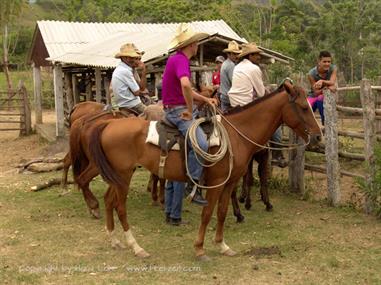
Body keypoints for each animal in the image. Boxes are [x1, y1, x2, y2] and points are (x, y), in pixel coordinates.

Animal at [86, 80, 320, 258]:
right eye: (302, 107)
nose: (318, 136)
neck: (237, 134)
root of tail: (108, 124)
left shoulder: (229, 183)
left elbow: (222, 212)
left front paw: (223, 245)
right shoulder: (215, 184)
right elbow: (207, 214)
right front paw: (199, 248)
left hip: (118, 177)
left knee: (109, 201)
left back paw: (115, 240)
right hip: (123, 177)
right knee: (120, 207)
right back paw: (136, 247)